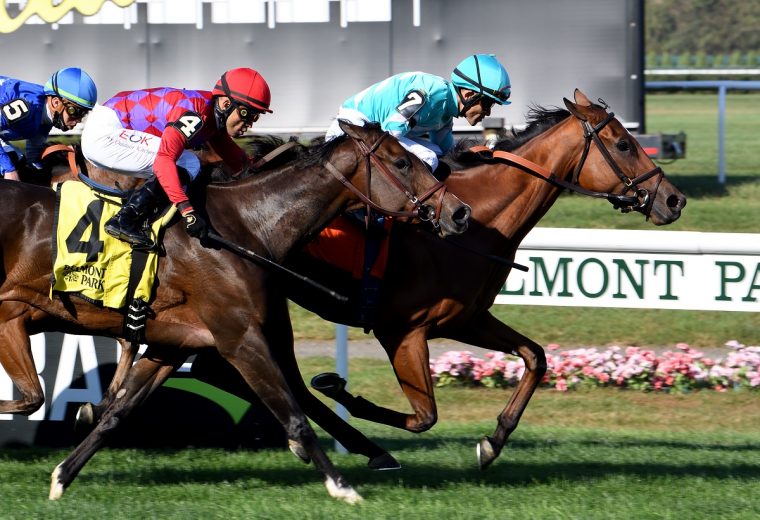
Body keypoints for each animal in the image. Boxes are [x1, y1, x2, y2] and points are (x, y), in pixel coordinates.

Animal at [0, 120, 470, 502]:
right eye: (402, 162)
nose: (459, 213)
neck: (248, 226)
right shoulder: (240, 339)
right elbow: (295, 415)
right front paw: (342, 487)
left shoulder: (173, 344)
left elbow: (117, 414)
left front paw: (62, 476)